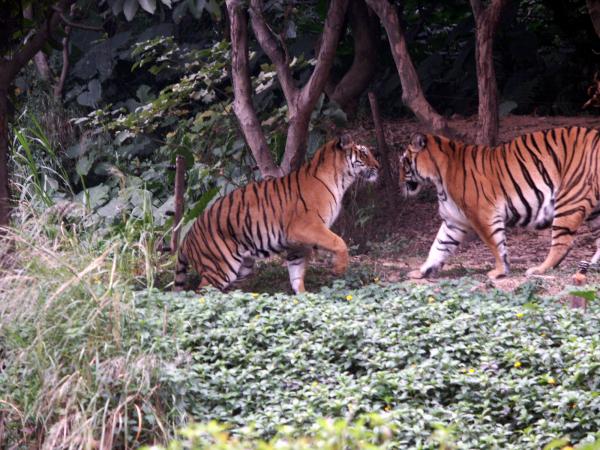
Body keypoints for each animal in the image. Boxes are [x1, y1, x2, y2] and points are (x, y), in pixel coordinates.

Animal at [175, 135, 379, 293]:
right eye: (364, 153)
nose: (378, 166)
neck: (340, 179)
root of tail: (186, 238)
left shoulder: (297, 243)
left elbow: (296, 274)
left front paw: (303, 300)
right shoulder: (307, 227)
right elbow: (339, 242)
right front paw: (339, 269)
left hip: (243, 267)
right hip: (220, 267)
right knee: (200, 292)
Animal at [399, 127, 600, 280]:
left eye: (403, 162)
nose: (399, 181)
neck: (439, 177)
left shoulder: (483, 214)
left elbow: (495, 244)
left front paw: (499, 272)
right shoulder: (453, 222)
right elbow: (439, 246)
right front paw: (422, 271)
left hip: (570, 199)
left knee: (563, 243)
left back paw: (539, 269)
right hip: (594, 210)